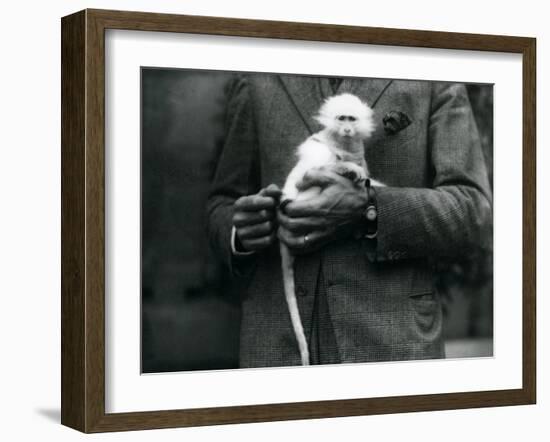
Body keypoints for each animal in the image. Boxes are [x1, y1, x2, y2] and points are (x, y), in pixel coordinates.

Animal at [280, 91, 384, 364]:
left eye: (352, 119)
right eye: (341, 119)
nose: (347, 129)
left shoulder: (357, 150)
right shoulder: (322, 143)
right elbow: (318, 156)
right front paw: (347, 169)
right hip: (302, 195)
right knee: (315, 165)